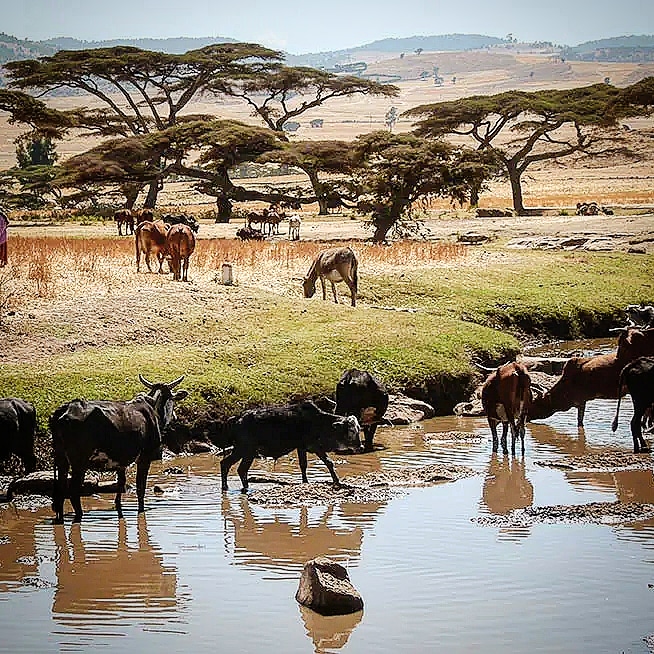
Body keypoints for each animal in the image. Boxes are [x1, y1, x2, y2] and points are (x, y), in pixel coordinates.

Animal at [50, 376, 188, 524]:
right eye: (172, 399)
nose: (175, 417)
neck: (153, 409)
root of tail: (65, 409)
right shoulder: (145, 457)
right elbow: (141, 487)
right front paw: (141, 510)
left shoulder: (121, 461)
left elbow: (121, 483)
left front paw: (118, 506)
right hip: (79, 462)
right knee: (73, 492)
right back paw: (78, 517)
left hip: (61, 458)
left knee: (61, 489)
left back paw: (60, 519)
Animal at [220, 402, 364, 494]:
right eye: (351, 430)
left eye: (358, 429)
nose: (360, 446)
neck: (319, 422)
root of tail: (237, 419)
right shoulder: (313, 446)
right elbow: (327, 462)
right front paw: (336, 481)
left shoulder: (302, 448)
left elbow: (305, 465)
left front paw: (306, 481)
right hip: (245, 451)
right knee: (237, 468)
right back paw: (243, 488)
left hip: (243, 451)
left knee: (229, 465)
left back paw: (228, 487)